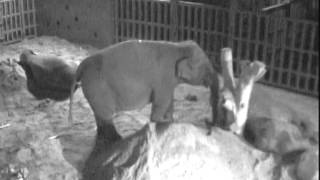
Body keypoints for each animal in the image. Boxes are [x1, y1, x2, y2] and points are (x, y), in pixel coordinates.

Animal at [69, 39, 215, 142]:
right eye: (206, 66)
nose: (209, 127)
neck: (179, 46)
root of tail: (82, 65)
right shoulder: (164, 78)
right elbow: (162, 102)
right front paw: (161, 122)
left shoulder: (169, 82)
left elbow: (169, 101)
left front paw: (170, 121)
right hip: (98, 88)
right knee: (106, 115)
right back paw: (117, 139)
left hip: (92, 89)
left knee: (99, 115)